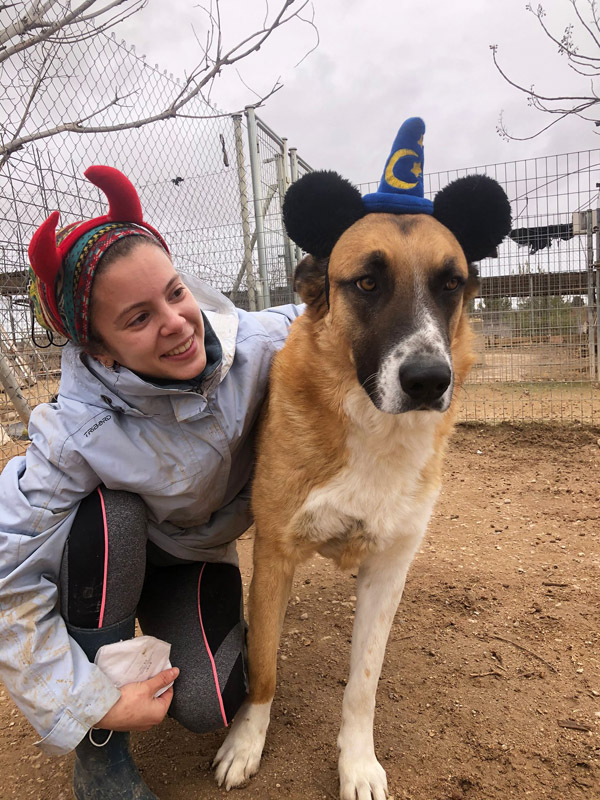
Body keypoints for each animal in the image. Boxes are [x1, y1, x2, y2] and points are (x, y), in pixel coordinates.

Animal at [213, 124, 511, 799]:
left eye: (450, 284)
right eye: (367, 283)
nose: (428, 381)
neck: (374, 429)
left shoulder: (388, 568)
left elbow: (363, 685)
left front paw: (357, 762)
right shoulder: (274, 553)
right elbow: (263, 664)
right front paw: (246, 743)